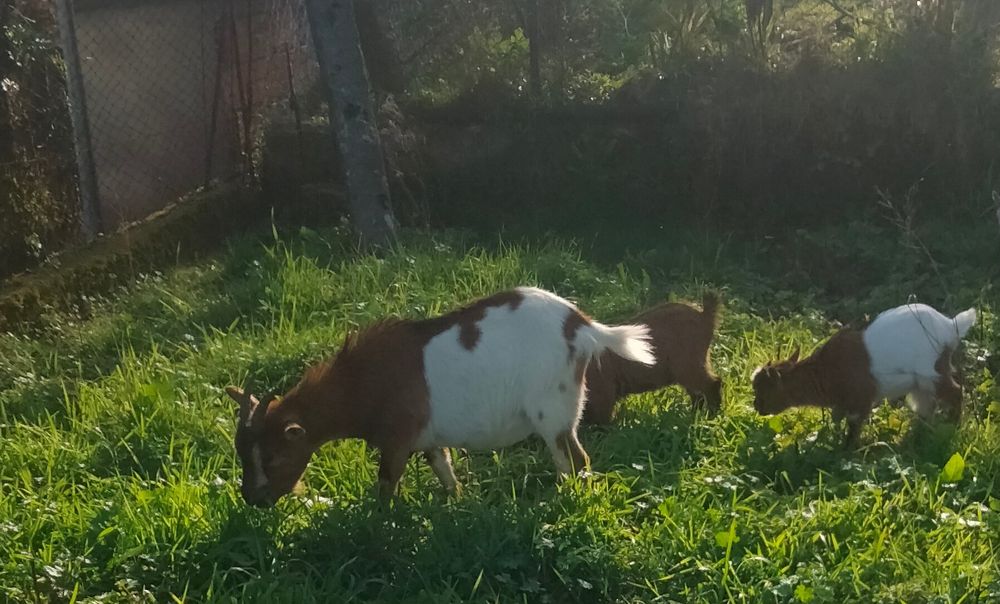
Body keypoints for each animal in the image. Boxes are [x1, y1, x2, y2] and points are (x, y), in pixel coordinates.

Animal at [224, 286, 655, 507]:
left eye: (274, 457)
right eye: (241, 454)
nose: (252, 498)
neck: (362, 382)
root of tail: (581, 326)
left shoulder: (398, 438)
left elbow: (386, 487)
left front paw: (379, 529)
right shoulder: (427, 438)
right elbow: (445, 471)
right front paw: (458, 505)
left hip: (553, 408)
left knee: (576, 458)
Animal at [583, 292, 722, 424]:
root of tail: (704, 316)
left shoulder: (603, 392)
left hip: (688, 364)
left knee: (713, 383)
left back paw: (711, 416)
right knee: (697, 393)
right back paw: (693, 415)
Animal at [752, 303, 977, 448]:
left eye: (764, 389)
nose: (756, 407)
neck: (826, 370)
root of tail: (950, 326)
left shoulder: (861, 397)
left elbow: (853, 428)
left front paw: (848, 452)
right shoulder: (843, 403)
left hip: (932, 371)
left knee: (955, 392)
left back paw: (953, 427)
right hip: (921, 384)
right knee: (926, 407)